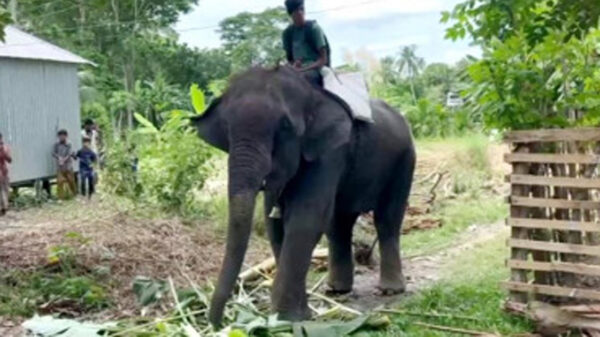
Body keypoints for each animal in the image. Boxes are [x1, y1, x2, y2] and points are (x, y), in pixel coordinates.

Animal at [193, 65, 418, 326]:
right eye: (226, 128)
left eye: (285, 127)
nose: (219, 322)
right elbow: (274, 224)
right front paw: (300, 315)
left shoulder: (330, 151)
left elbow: (305, 218)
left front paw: (286, 319)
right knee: (339, 224)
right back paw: (337, 290)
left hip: (405, 160)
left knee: (386, 218)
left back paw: (390, 290)